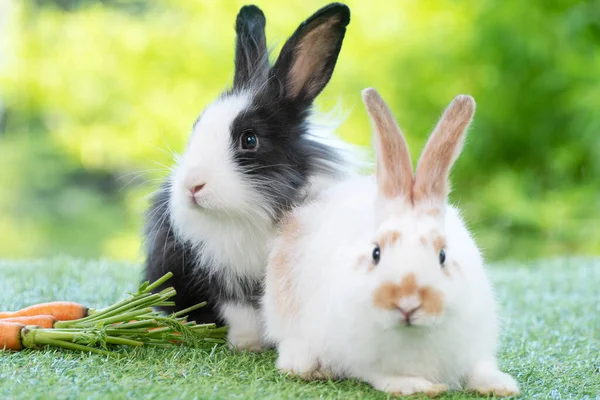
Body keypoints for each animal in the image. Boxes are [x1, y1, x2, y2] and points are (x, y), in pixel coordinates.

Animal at [144, 2, 360, 350]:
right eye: (197, 126)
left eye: (249, 140)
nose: (192, 186)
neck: (255, 211)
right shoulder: (213, 272)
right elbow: (237, 311)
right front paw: (246, 345)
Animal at [262, 88, 520, 396]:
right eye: (376, 253)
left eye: (442, 255)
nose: (407, 302)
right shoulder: (361, 359)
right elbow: (384, 376)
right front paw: (422, 387)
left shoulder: (475, 347)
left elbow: (480, 369)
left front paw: (502, 385)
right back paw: (306, 365)